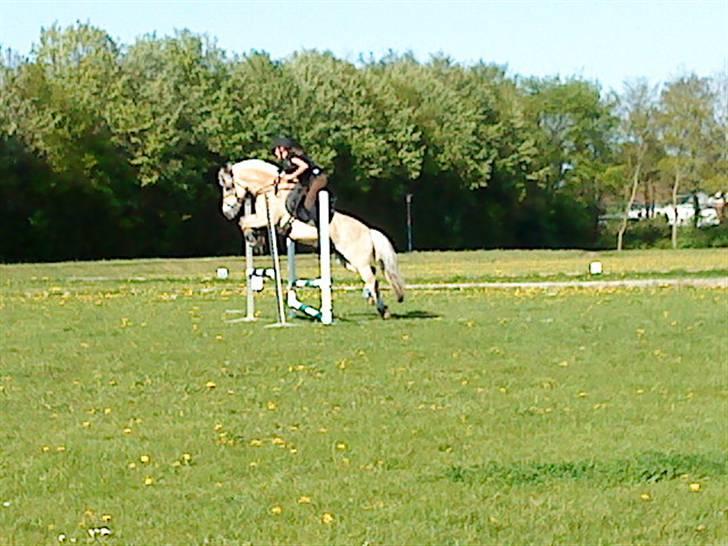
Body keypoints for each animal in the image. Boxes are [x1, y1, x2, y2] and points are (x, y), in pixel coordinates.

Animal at [216, 157, 410, 316]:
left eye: (228, 186)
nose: (226, 212)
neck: (270, 190)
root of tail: (368, 230)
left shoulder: (266, 218)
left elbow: (243, 222)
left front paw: (252, 239)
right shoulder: (264, 219)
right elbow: (245, 222)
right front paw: (256, 240)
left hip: (358, 260)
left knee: (371, 279)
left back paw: (379, 307)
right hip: (347, 260)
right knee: (373, 277)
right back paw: (376, 303)